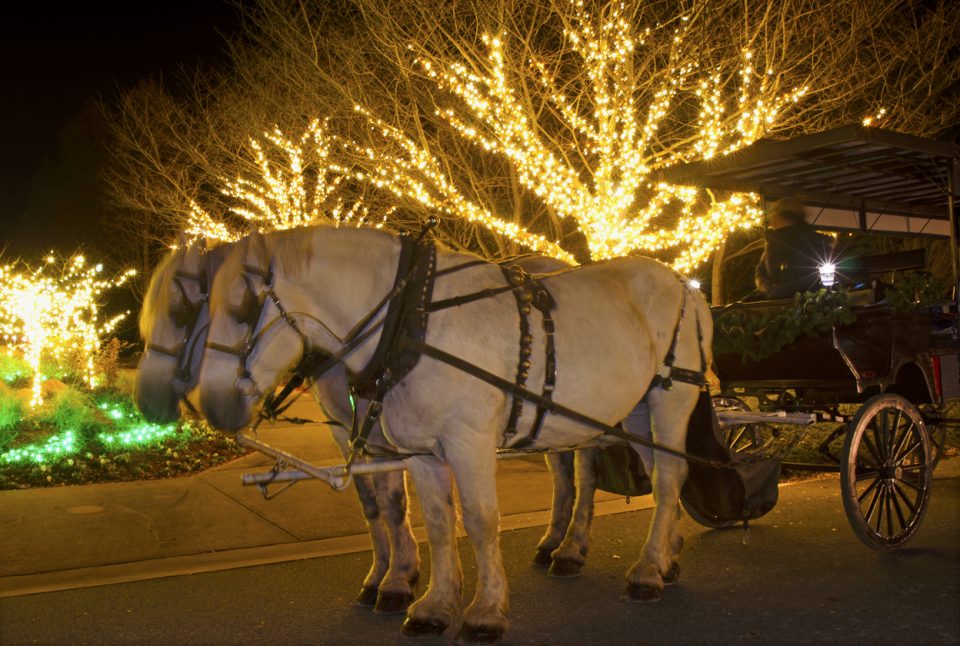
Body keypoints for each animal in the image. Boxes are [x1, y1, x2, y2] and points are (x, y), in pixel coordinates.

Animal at [199, 227, 708, 644]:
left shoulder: (469, 442)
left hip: (671, 399)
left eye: (244, 307)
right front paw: (433, 605)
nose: (210, 405)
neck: (411, 320)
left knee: (664, 479)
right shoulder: (418, 452)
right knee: (659, 474)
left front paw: (485, 611)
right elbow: (437, 522)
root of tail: (686, 284)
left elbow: (480, 521)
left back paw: (644, 571)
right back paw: (664, 556)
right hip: (636, 412)